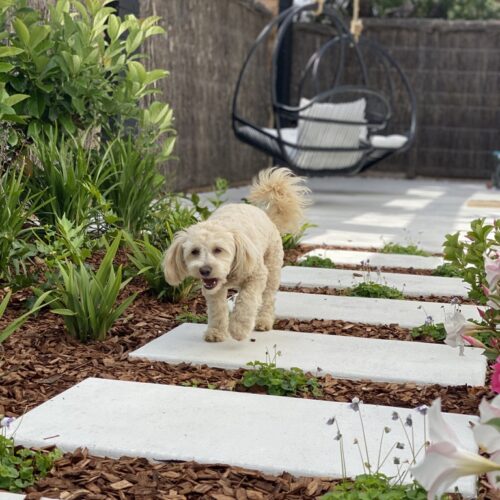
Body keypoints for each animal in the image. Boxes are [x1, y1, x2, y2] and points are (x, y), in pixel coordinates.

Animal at [163, 167, 308, 340]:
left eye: (218, 250)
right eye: (194, 251)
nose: (204, 270)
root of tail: (267, 216)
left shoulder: (256, 275)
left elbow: (246, 300)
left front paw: (239, 328)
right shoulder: (213, 290)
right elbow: (217, 309)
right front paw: (216, 332)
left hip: (272, 268)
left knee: (268, 297)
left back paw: (263, 321)